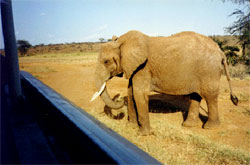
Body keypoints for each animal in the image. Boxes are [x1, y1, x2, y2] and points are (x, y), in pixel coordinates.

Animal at [91, 30, 238, 135]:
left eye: (106, 61)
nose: (119, 98)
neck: (122, 42)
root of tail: (221, 52)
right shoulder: (135, 68)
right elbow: (131, 92)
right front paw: (130, 126)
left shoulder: (143, 67)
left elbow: (139, 93)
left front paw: (143, 134)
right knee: (196, 96)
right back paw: (188, 125)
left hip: (209, 71)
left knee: (210, 96)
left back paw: (209, 127)